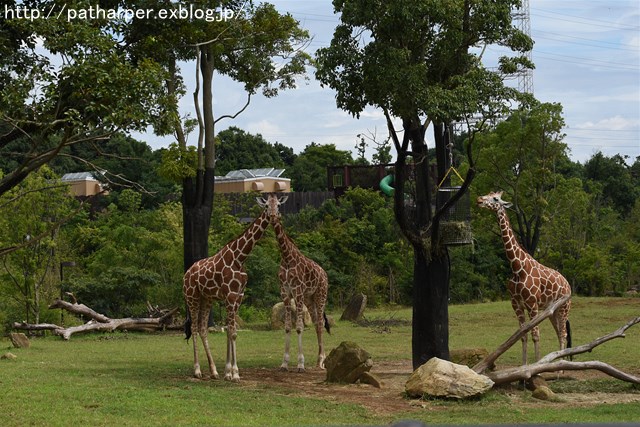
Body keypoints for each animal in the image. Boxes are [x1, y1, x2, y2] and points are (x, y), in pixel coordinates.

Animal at [181, 196, 278, 382]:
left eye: (278, 205)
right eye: (266, 205)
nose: (274, 216)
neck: (239, 258)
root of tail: (186, 274)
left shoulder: (238, 296)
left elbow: (230, 331)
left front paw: (227, 372)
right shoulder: (230, 295)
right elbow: (232, 332)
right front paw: (235, 373)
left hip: (206, 298)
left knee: (203, 328)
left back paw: (213, 371)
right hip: (192, 296)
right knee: (195, 328)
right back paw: (197, 370)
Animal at [262, 196, 330, 372]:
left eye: (279, 205)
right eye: (267, 205)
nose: (273, 216)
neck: (286, 258)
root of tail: (324, 274)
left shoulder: (297, 291)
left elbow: (299, 327)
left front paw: (300, 364)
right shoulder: (285, 293)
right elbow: (287, 326)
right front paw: (284, 363)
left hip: (320, 295)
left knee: (321, 323)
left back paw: (322, 361)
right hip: (309, 299)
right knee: (316, 323)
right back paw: (319, 360)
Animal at [478, 192, 572, 366]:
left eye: (495, 198)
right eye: (488, 194)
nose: (479, 200)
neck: (517, 267)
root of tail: (567, 284)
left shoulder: (532, 303)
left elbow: (536, 335)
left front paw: (536, 366)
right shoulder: (516, 303)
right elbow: (522, 335)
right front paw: (524, 367)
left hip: (564, 308)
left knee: (563, 334)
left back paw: (561, 368)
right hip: (552, 311)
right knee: (559, 333)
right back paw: (557, 364)